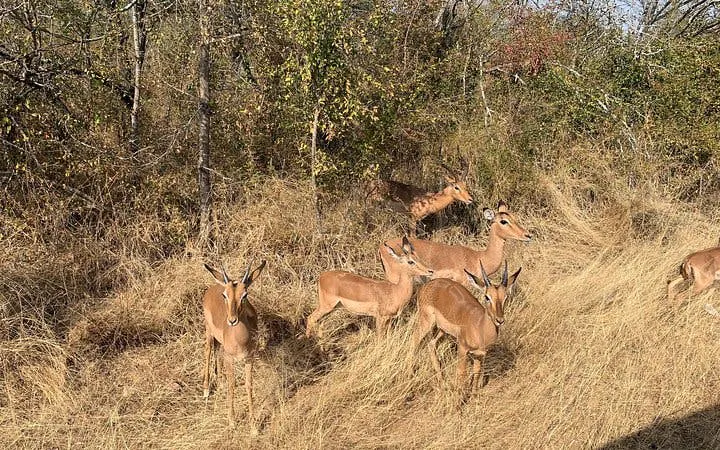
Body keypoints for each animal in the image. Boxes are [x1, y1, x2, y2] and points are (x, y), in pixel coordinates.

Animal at [202, 260, 266, 429]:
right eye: (225, 295)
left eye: (245, 295)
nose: (232, 320)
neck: (239, 341)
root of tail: (214, 286)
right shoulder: (230, 359)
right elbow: (233, 385)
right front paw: (232, 422)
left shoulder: (249, 359)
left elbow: (249, 385)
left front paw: (254, 426)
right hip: (208, 331)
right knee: (208, 351)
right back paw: (206, 390)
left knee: (217, 353)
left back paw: (220, 382)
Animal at [306, 236, 434, 339]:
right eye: (410, 261)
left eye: (418, 257)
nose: (430, 271)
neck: (395, 291)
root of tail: (322, 276)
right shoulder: (381, 317)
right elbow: (379, 338)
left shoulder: (389, 319)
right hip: (326, 306)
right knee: (310, 318)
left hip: (333, 308)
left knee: (320, 322)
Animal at [414, 262, 521, 396]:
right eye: (487, 297)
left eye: (505, 297)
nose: (499, 320)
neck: (480, 326)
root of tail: (427, 285)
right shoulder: (462, 349)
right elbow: (461, 373)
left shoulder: (479, 355)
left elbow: (476, 372)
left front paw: (474, 395)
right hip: (426, 323)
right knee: (414, 340)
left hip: (442, 330)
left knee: (431, 344)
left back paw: (442, 382)